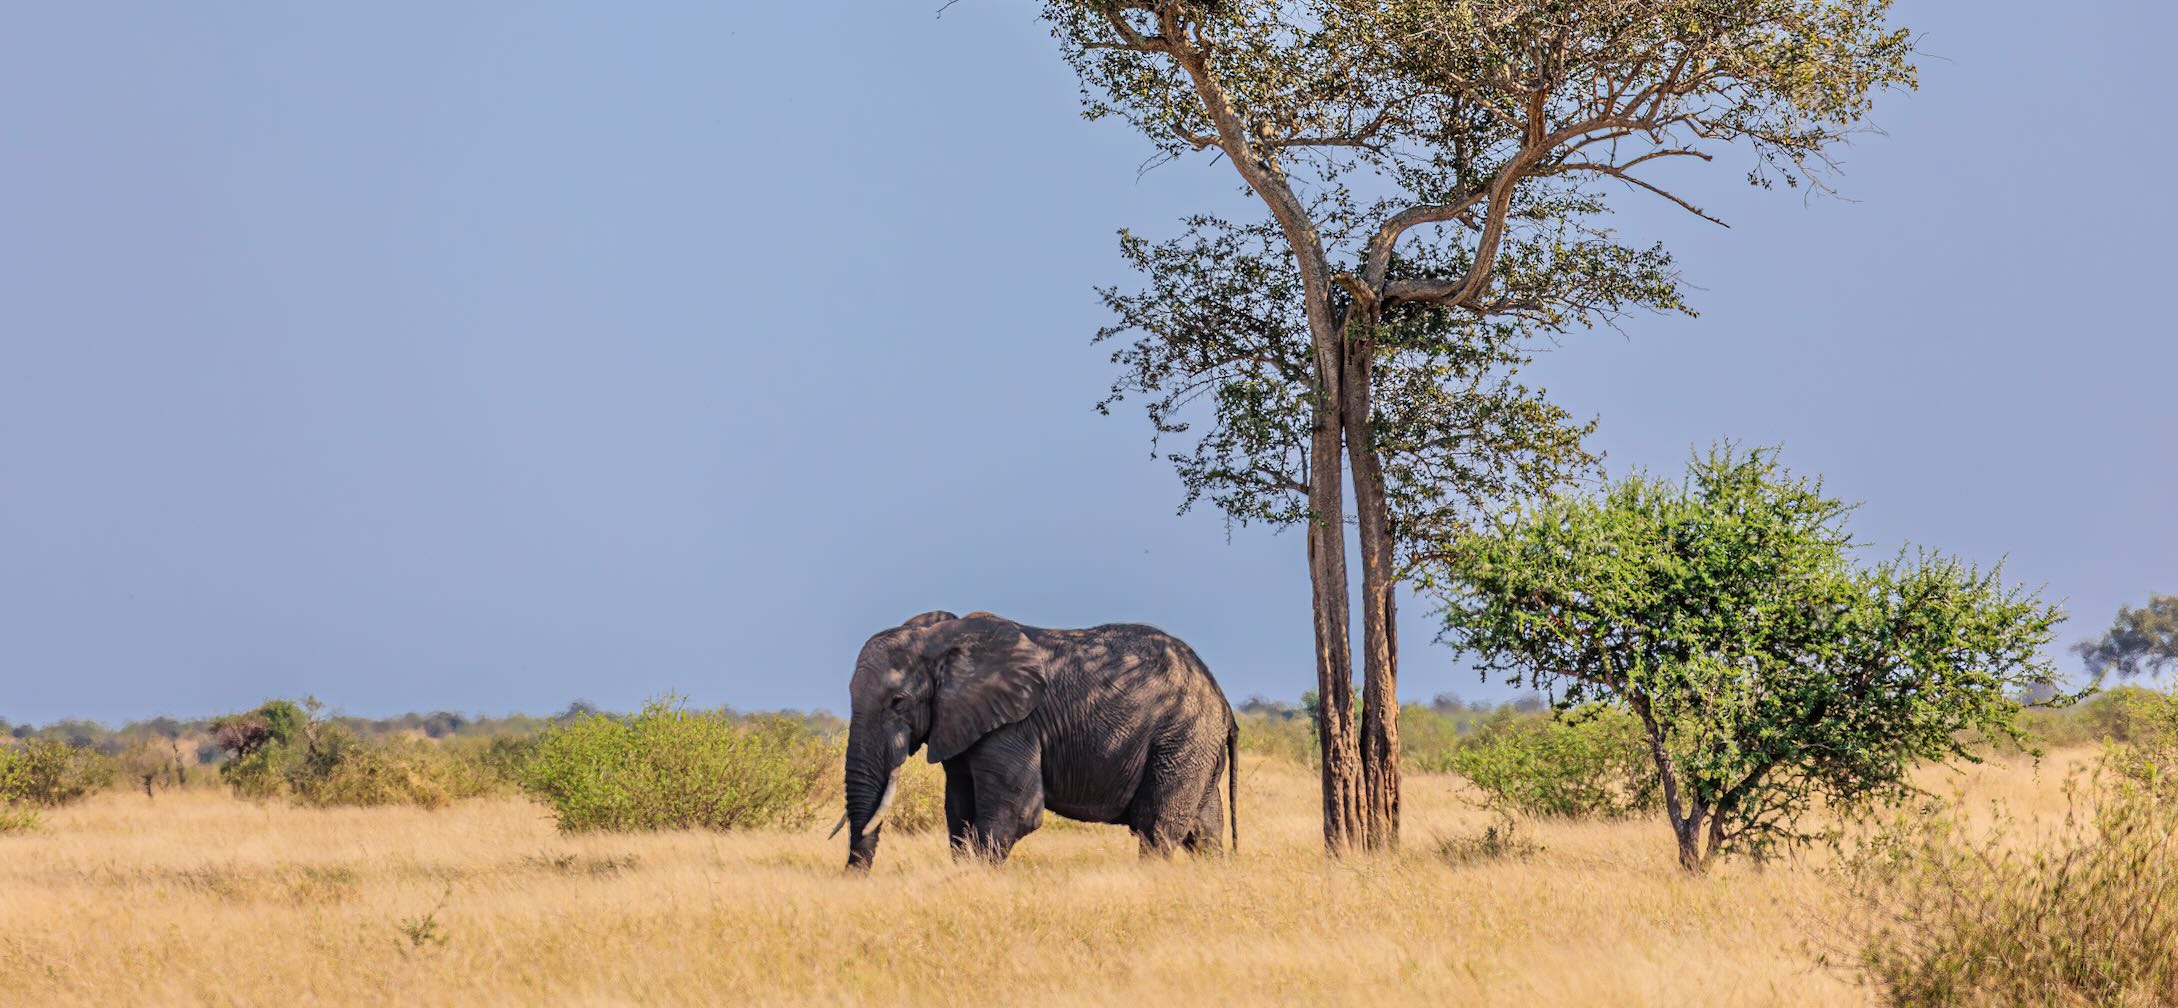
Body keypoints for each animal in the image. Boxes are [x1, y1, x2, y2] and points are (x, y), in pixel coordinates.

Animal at [830, 610, 1237, 870]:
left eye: (898, 702)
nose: (853, 877)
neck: (942, 640)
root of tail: (1221, 697)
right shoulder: (960, 724)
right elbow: (958, 811)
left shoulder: (1014, 725)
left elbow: (1015, 813)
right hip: (1196, 747)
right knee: (1204, 832)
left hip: (1181, 737)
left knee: (1156, 827)